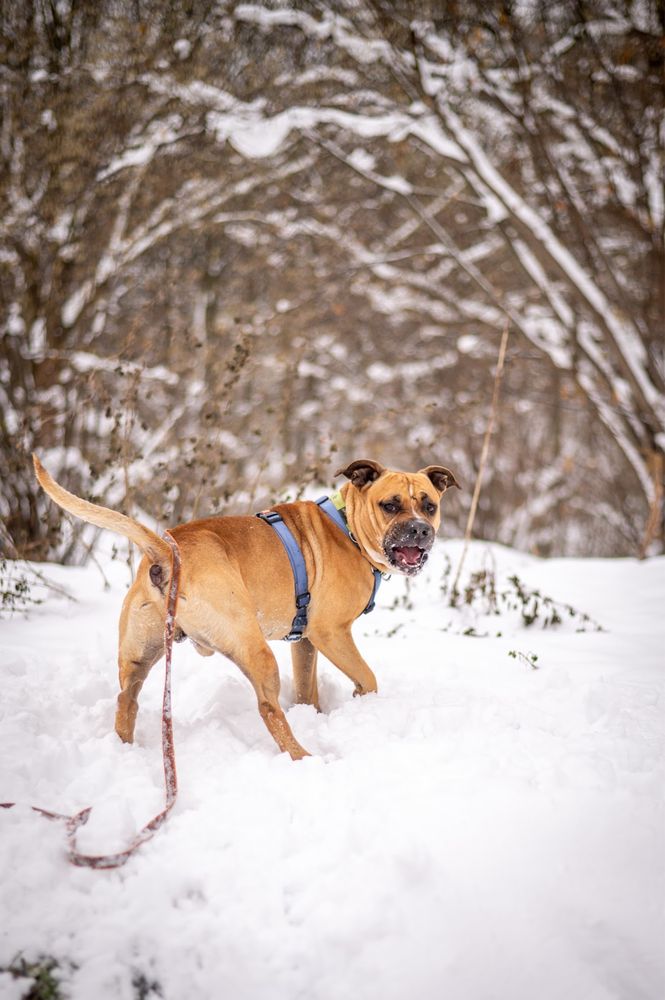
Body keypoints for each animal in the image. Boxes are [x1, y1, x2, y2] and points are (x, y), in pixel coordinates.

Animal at [31, 458, 456, 756]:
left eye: (429, 506)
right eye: (390, 506)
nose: (420, 529)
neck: (348, 525)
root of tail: (168, 553)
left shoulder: (306, 642)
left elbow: (307, 691)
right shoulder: (331, 633)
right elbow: (367, 678)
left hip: (140, 652)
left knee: (126, 700)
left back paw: (125, 753)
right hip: (252, 646)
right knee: (269, 709)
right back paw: (304, 758)